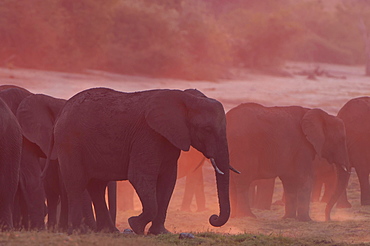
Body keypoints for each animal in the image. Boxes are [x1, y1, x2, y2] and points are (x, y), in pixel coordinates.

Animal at [49, 87, 234, 234]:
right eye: (207, 129)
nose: (213, 217)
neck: (184, 97)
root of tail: (62, 111)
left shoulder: (169, 139)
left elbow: (168, 181)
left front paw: (159, 233)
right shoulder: (148, 135)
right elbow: (139, 176)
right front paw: (135, 225)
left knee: (97, 187)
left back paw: (110, 232)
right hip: (70, 141)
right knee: (76, 183)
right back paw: (78, 231)